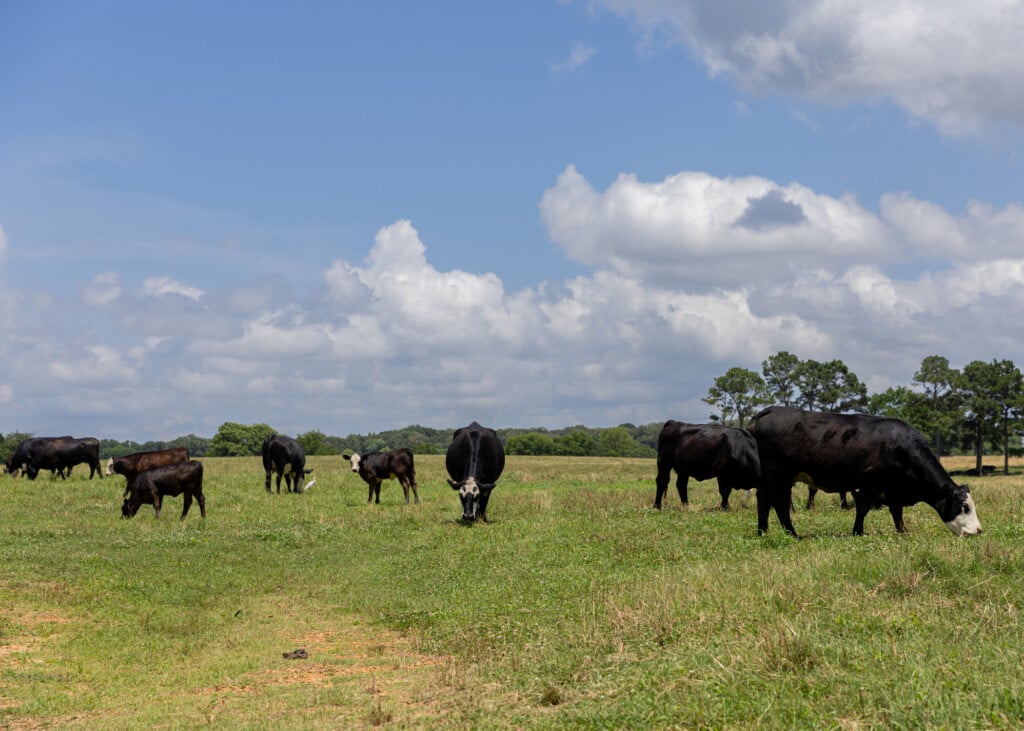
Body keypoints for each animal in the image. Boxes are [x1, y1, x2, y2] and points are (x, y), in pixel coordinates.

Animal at [749, 406, 982, 537]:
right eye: (964, 507)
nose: (979, 530)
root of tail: (770, 410)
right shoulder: (870, 484)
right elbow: (862, 508)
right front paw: (858, 531)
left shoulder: (893, 489)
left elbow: (896, 512)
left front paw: (903, 532)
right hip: (780, 475)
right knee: (779, 503)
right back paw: (792, 533)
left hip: (767, 477)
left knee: (763, 500)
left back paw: (763, 532)